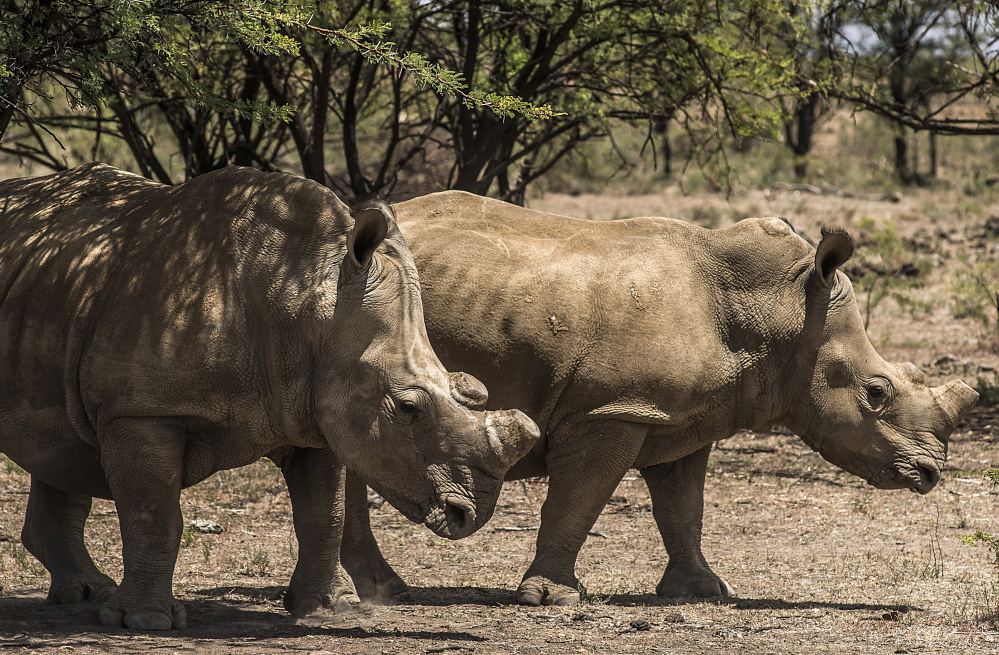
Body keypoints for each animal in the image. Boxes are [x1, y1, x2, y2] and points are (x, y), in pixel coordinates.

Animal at [0, 168, 540, 632]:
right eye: (409, 409)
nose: (469, 514)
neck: (306, 308)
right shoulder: (141, 411)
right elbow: (155, 516)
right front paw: (147, 621)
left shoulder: (317, 408)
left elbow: (324, 514)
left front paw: (325, 609)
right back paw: (101, 600)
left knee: (63, 450)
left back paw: (88, 594)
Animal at [340, 192, 980, 608]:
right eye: (876, 392)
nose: (931, 472)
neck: (779, 312)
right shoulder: (612, 409)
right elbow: (578, 499)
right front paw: (550, 599)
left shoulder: (682, 419)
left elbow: (683, 508)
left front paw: (703, 593)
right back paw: (379, 593)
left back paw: (383, 592)